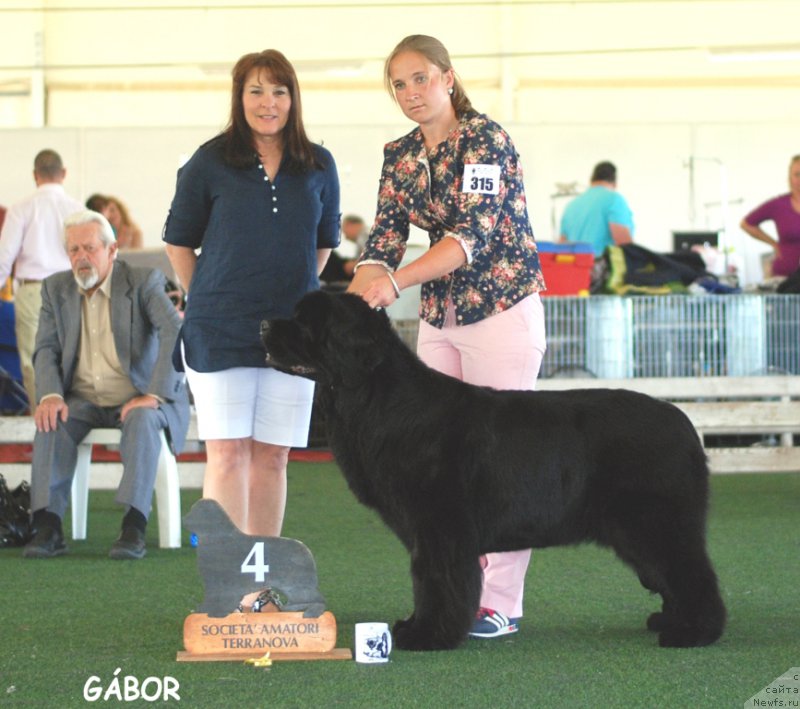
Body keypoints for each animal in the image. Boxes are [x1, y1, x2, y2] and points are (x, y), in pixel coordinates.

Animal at [260, 290, 724, 648]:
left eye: (305, 322)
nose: (263, 324)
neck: (378, 397)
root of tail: (684, 423)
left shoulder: (441, 524)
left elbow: (436, 579)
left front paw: (427, 635)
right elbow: (429, 579)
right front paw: (417, 626)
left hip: (655, 521)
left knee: (692, 572)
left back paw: (693, 632)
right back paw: (670, 621)